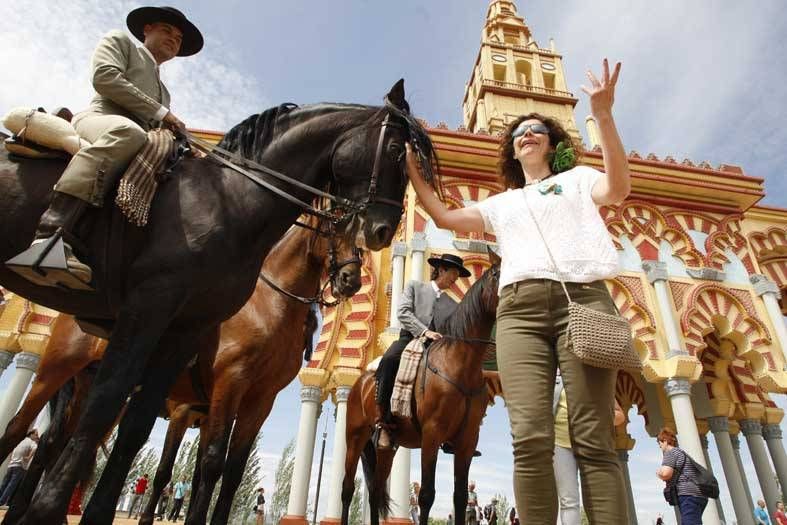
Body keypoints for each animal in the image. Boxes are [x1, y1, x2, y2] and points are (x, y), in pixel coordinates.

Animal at [0, 214, 362, 524]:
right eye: (336, 223)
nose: (351, 279)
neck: (268, 305)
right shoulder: (203, 399)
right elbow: (193, 466)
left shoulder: (257, 401)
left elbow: (225, 471)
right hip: (56, 367)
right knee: (22, 427)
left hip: (87, 384)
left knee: (56, 441)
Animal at [342, 250, 502, 524]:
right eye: (498, 274)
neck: (462, 365)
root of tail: (360, 384)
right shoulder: (432, 433)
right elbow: (427, 494)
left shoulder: (467, 440)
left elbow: (460, 498)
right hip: (354, 436)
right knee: (347, 489)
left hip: (386, 448)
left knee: (375, 491)